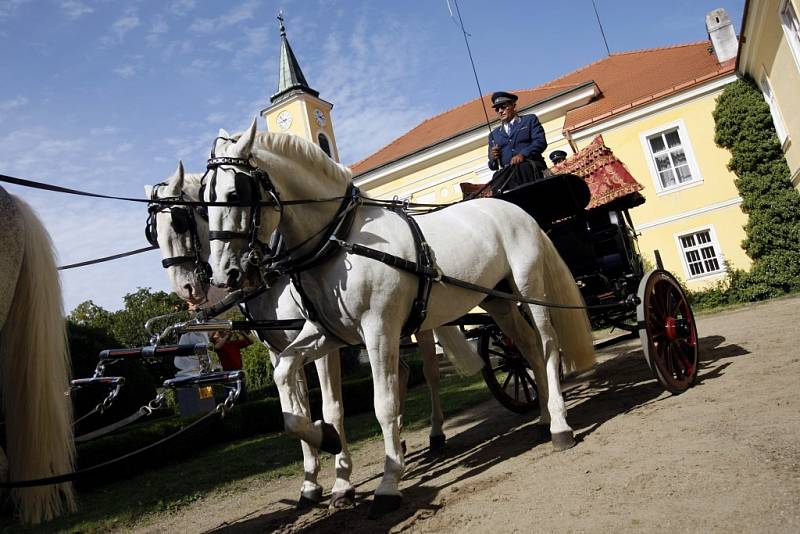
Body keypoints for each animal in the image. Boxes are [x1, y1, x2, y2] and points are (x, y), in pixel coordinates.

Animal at [205, 119, 592, 516]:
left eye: (234, 193)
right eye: (205, 198)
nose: (222, 273)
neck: (339, 240)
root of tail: (513, 208)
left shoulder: (378, 329)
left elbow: (383, 403)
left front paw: (388, 482)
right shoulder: (326, 332)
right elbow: (289, 384)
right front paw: (326, 442)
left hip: (529, 288)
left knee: (547, 345)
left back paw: (559, 424)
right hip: (498, 301)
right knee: (526, 348)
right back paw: (543, 417)